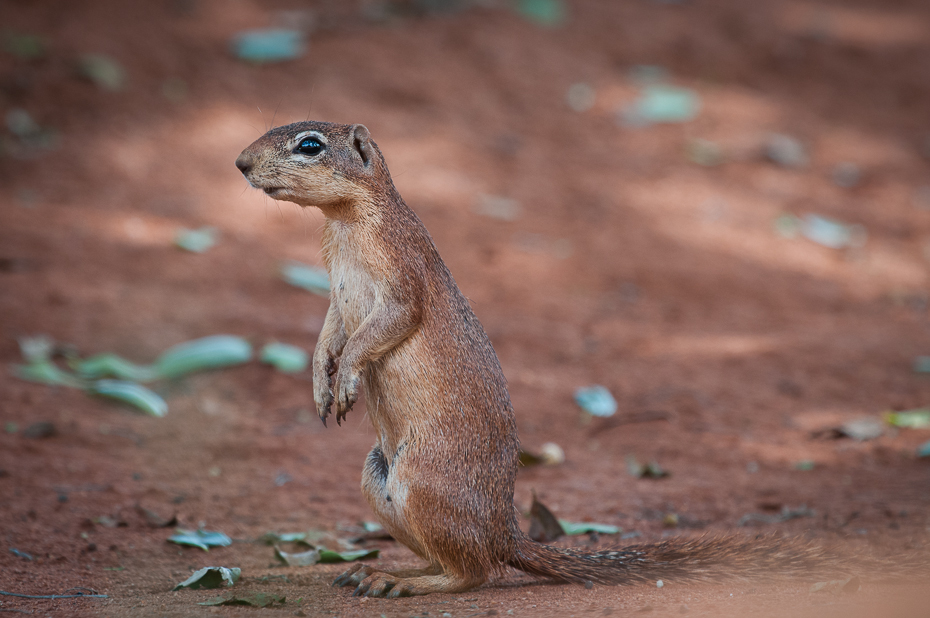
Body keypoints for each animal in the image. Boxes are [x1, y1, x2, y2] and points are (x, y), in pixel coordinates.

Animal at [232, 120, 864, 596]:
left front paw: (344, 381)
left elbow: (380, 329)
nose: (239, 163)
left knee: (474, 573)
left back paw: (404, 582)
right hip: (378, 480)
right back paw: (382, 572)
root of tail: (505, 531)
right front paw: (320, 384)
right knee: (452, 559)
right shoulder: (335, 296)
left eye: (309, 145)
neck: (343, 221)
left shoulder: (401, 279)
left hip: (424, 485)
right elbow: (328, 333)